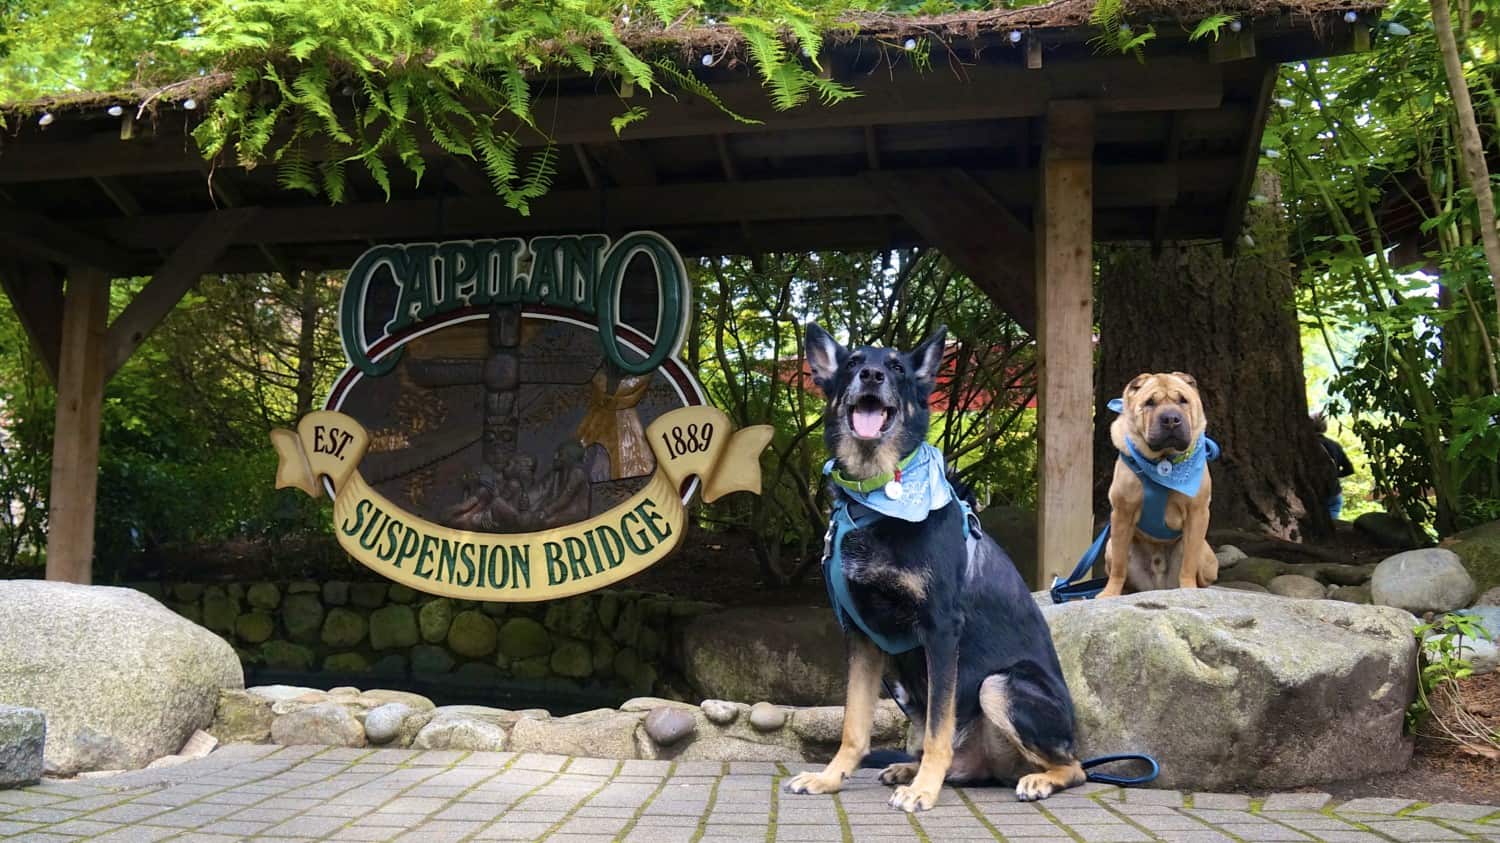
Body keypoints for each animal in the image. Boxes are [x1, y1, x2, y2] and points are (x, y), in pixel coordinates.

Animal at [780, 321, 1086, 810]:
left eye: (897, 367)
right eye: (852, 362)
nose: (870, 376)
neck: (876, 498)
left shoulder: (941, 630)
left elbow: (939, 728)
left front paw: (924, 790)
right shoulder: (861, 638)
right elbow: (854, 726)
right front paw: (829, 778)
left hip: (999, 684)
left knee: (1075, 766)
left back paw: (1037, 779)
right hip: (906, 685)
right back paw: (911, 768)